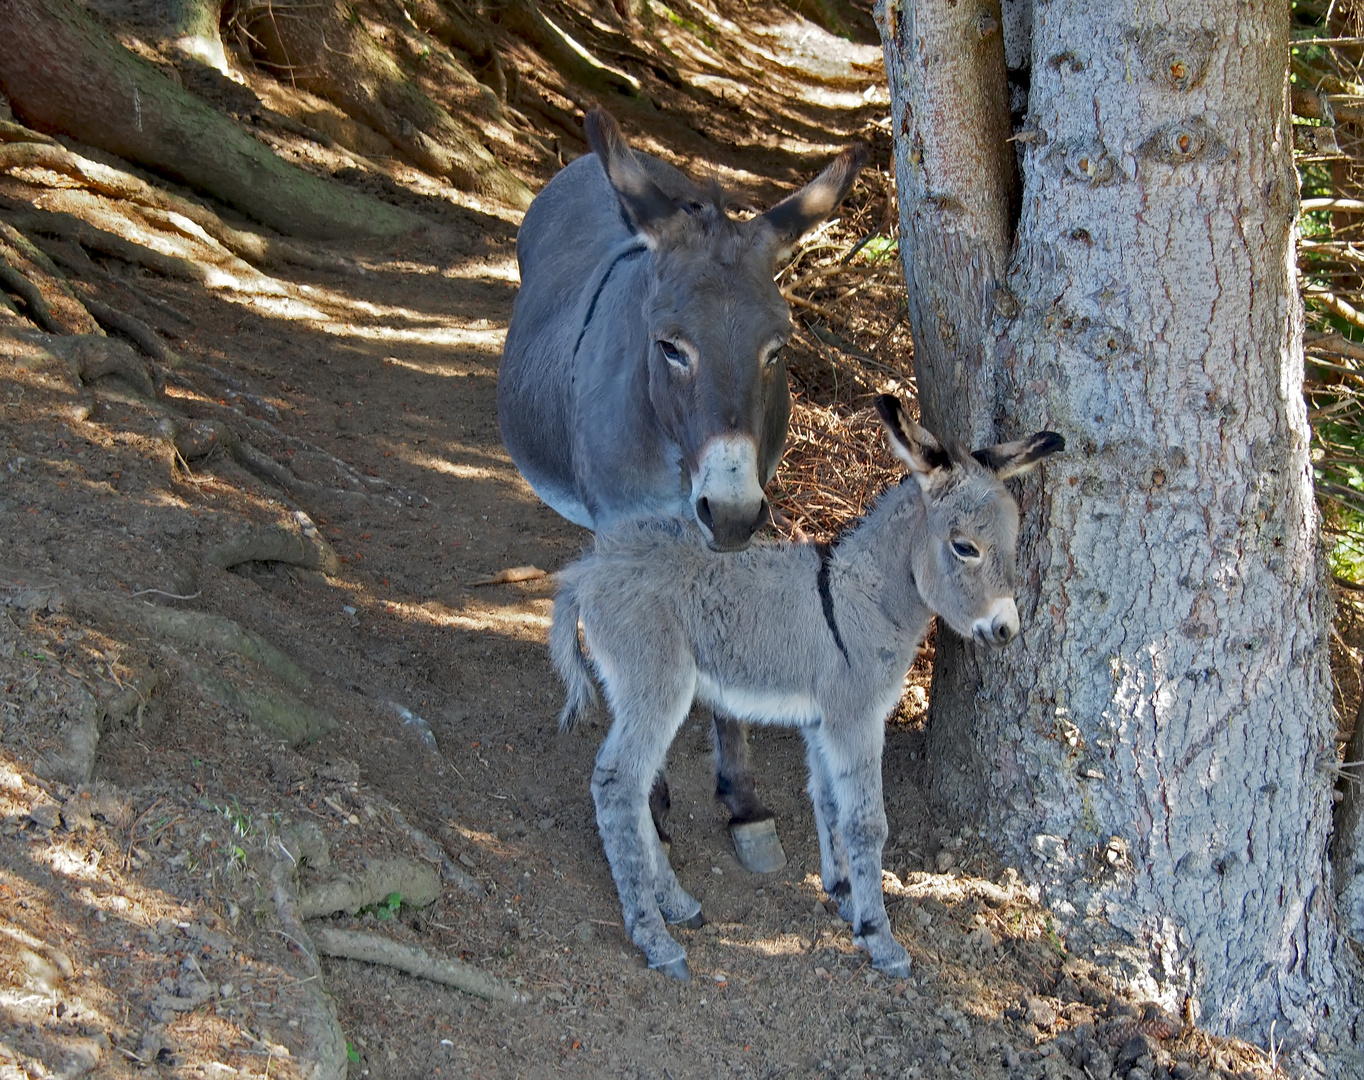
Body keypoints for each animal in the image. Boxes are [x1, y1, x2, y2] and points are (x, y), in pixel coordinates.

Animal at [548, 395, 1058, 976]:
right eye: (965, 547)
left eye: (1013, 545)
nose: (1006, 629)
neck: (863, 597)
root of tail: (588, 571)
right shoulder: (855, 717)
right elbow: (867, 823)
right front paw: (879, 935)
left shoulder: (822, 723)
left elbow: (830, 803)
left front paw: (843, 895)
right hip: (656, 683)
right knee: (617, 785)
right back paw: (654, 937)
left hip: (640, 690)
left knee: (635, 788)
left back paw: (675, 903)